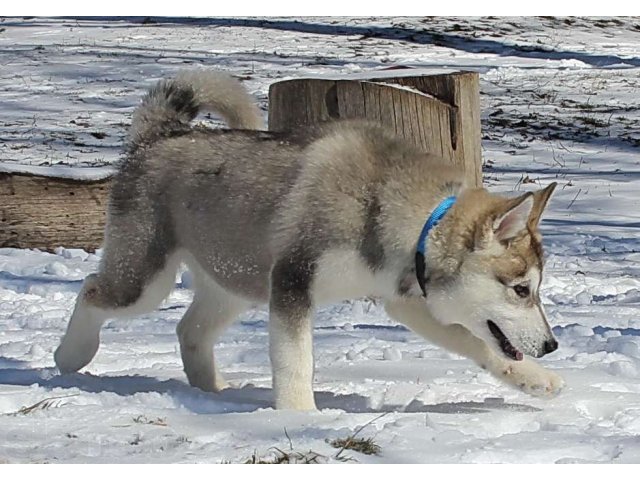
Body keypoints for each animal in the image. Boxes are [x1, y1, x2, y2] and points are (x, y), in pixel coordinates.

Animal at [56, 69, 564, 410]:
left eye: (536, 291)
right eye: (522, 290)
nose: (552, 346)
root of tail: (160, 134)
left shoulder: (404, 298)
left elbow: (474, 341)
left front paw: (533, 378)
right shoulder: (292, 280)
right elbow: (294, 360)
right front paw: (302, 418)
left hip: (236, 277)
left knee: (189, 328)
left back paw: (213, 392)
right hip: (147, 276)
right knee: (93, 290)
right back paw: (70, 356)